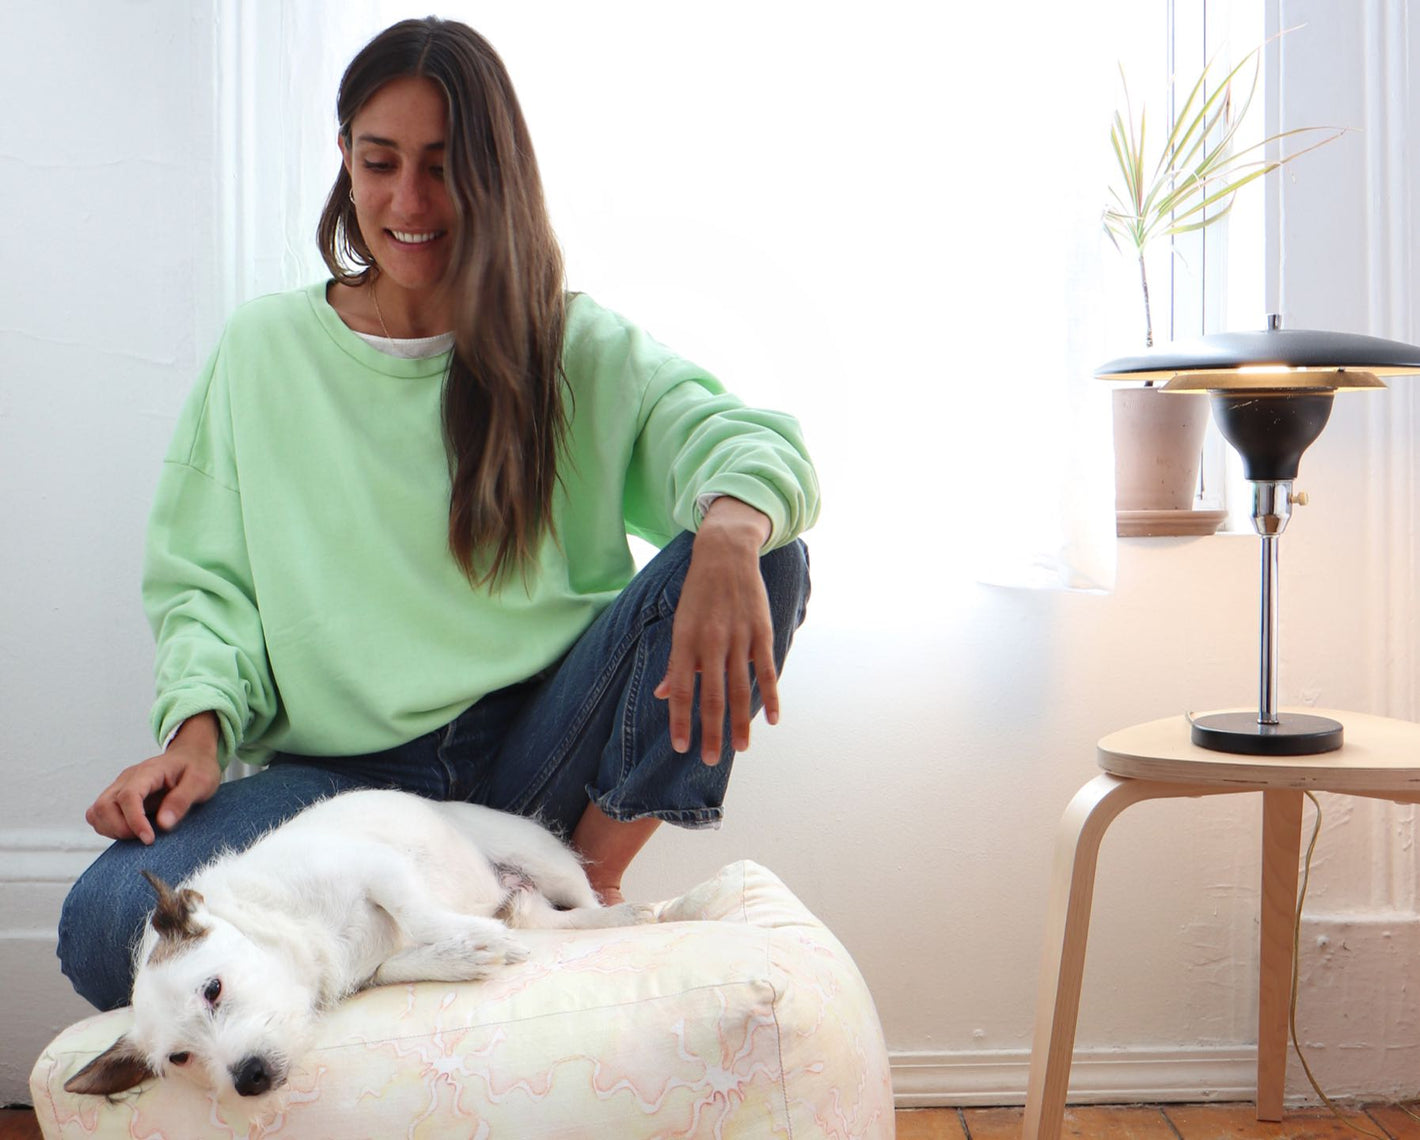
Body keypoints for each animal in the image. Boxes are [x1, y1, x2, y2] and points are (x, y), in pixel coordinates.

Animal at [62, 789, 650, 1101]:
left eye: (213, 990)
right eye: (180, 1058)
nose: (248, 1079)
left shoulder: (379, 869)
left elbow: (417, 912)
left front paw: (473, 934)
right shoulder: (370, 971)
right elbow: (405, 962)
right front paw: (461, 953)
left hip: (541, 857)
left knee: (587, 900)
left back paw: (628, 914)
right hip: (533, 900)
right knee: (553, 922)